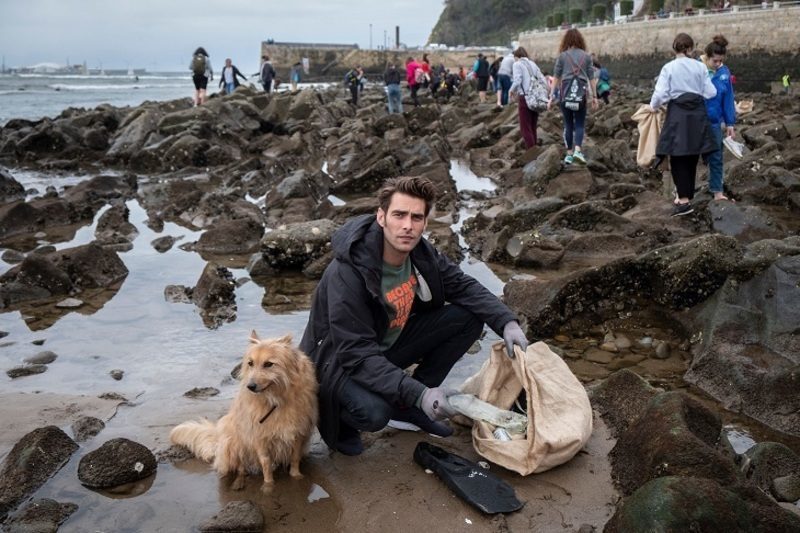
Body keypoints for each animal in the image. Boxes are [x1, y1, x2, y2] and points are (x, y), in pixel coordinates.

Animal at [170, 332, 318, 490]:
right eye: (250, 363)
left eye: (269, 364)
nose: (250, 386)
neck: (275, 399)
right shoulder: (259, 438)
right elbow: (265, 463)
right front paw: (269, 484)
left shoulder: (298, 434)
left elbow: (295, 458)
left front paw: (296, 476)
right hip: (233, 441)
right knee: (240, 467)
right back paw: (239, 481)